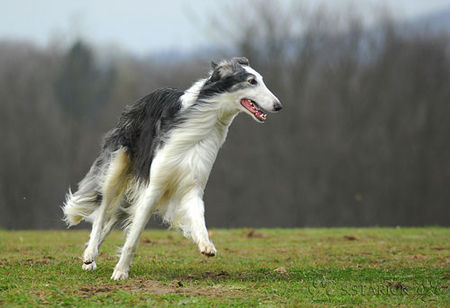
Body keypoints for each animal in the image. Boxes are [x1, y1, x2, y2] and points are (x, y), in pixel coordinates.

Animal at [62, 56, 282, 280]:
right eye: (252, 81)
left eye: (261, 80)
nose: (278, 106)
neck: (204, 121)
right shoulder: (154, 186)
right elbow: (133, 238)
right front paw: (121, 271)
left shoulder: (192, 185)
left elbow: (199, 217)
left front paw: (206, 245)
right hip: (116, 172)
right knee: (101, 213)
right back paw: (90, 254)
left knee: (110, 219)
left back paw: (89, 259)